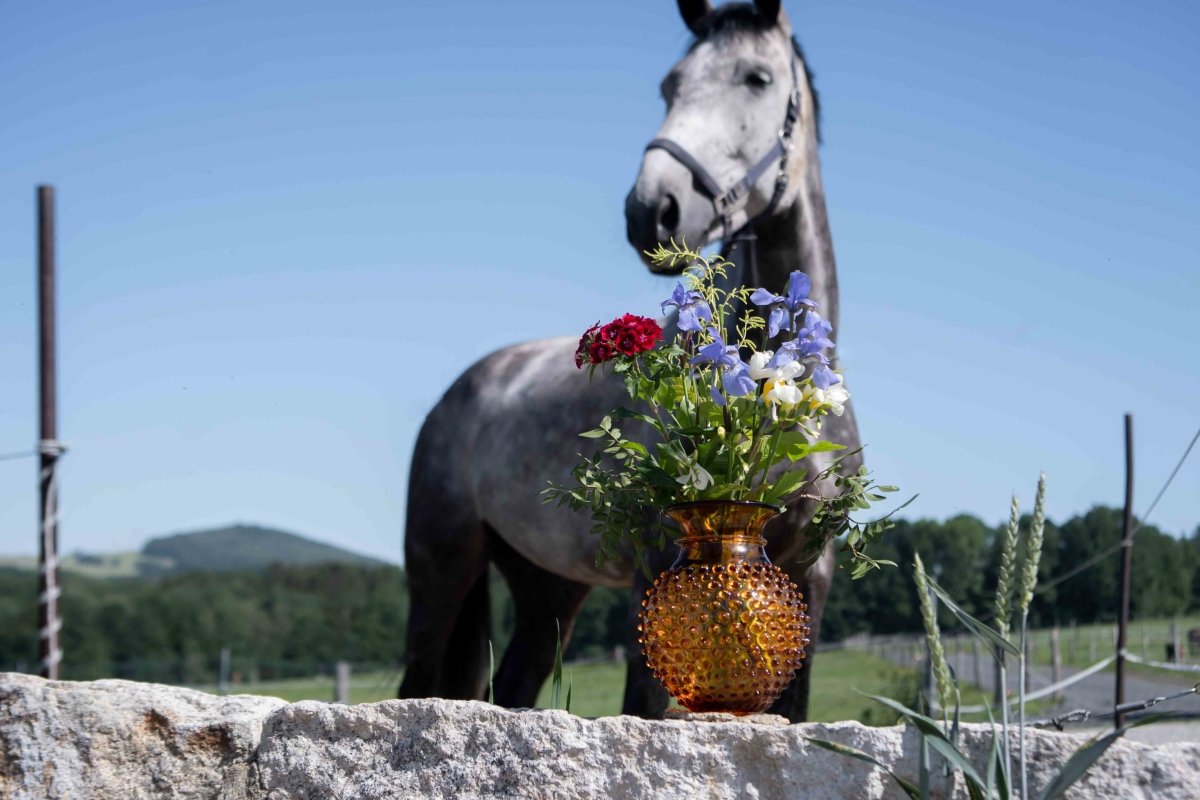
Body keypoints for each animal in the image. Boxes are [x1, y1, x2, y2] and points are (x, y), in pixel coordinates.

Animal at [403, 0, 864, 724]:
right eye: (670, 85)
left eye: (757, 78)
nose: (654, 208)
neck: (783, 388)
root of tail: (464, 389)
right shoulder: (657, 570)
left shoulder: (810, 577)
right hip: (440, 577)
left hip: (547, 592)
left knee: (514, 685)